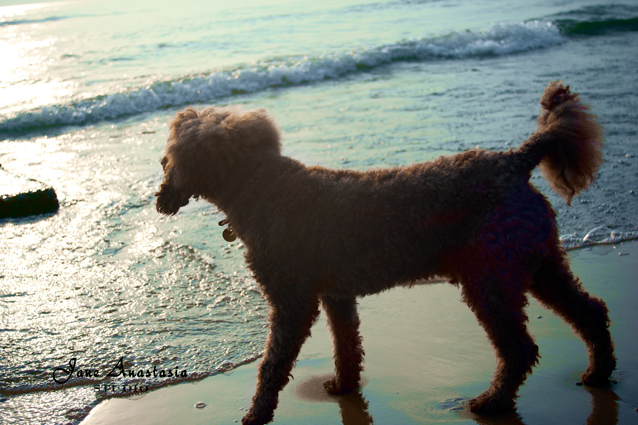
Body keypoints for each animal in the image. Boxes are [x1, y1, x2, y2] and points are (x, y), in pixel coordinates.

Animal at [155, 81, 616, 422]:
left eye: (167, 159)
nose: (160, 194)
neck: (261, 186)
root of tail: (515, 161)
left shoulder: (291, 302)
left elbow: (272, 367)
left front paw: (256, 415)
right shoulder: (336, 296)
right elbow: (347, 347)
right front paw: (344, 386)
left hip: (490, 281)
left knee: (520, 349)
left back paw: (494, 402)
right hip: (537, 264)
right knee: (591, 311)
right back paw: (598, 372)